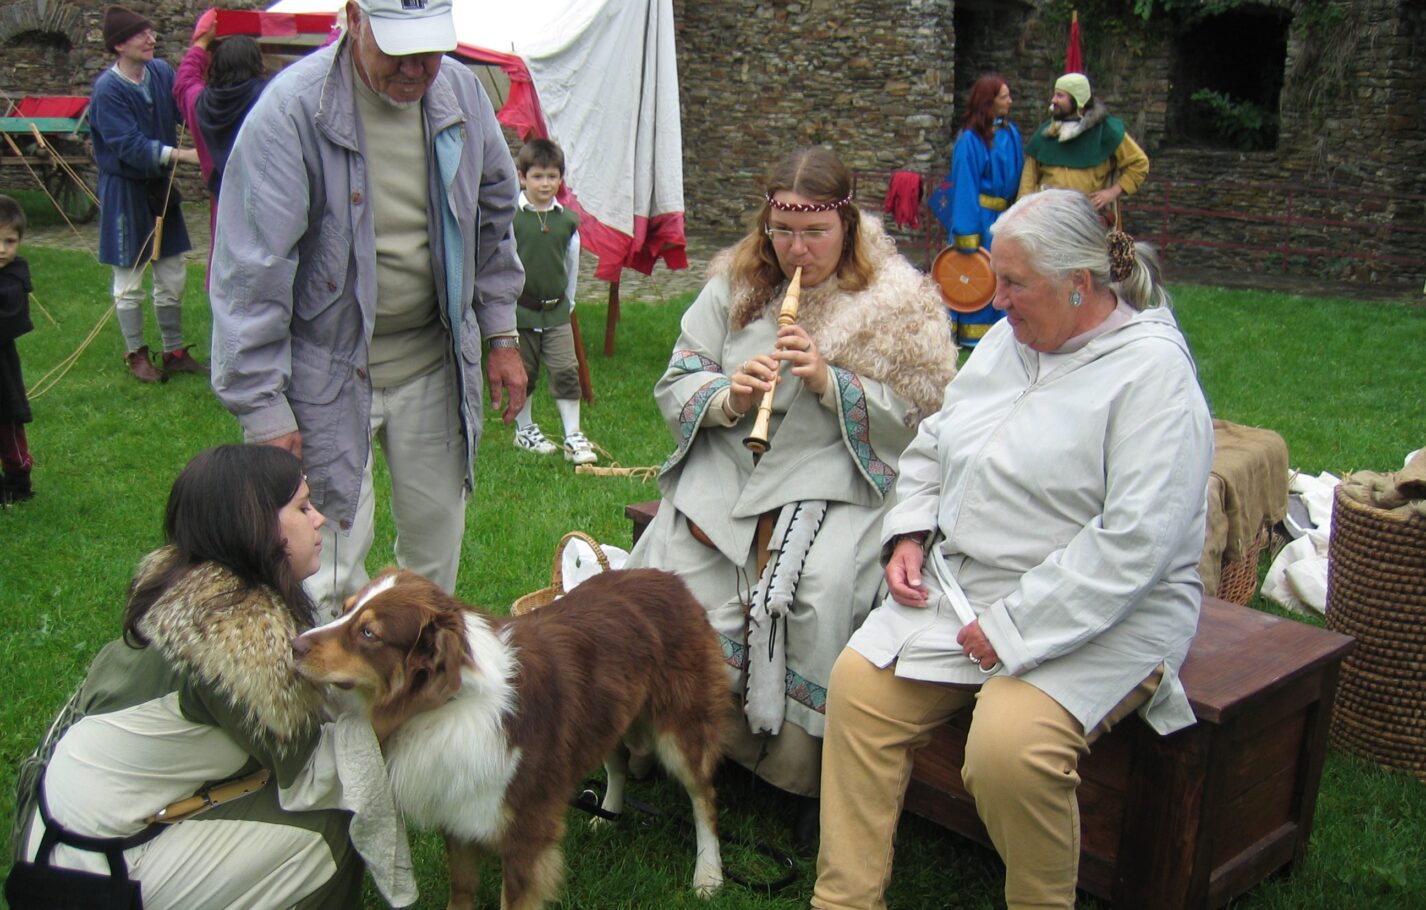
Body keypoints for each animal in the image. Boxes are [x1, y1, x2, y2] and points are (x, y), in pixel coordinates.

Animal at [289, 567, 724, 907]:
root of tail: (670, 577)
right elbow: (461, 890)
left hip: (680, 729)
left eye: (369, 633)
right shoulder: (459, 810)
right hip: (611, 714)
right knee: (617, 765)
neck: (448, 705)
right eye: (344, 608)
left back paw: (708, 875)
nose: (293, 645)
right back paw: (608, 814)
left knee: (703, 796)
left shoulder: (527, 837)